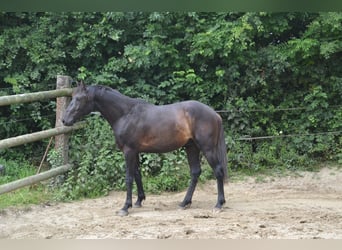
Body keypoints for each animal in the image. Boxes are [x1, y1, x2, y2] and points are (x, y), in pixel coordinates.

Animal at [62, 81, 228, 215]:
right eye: (73, 97)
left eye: (79, 99)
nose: (64, 120)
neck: (126, 114)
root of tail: (215, 114)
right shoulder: (135, 152)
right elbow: (137, 174)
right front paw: (138, 201)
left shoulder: (128, 151)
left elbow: (129, 178)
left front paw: (125, 207)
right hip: (191, 147)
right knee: (195, 173)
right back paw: (184, 203)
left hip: (207, 148)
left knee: (218, 171)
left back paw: (218, 204)